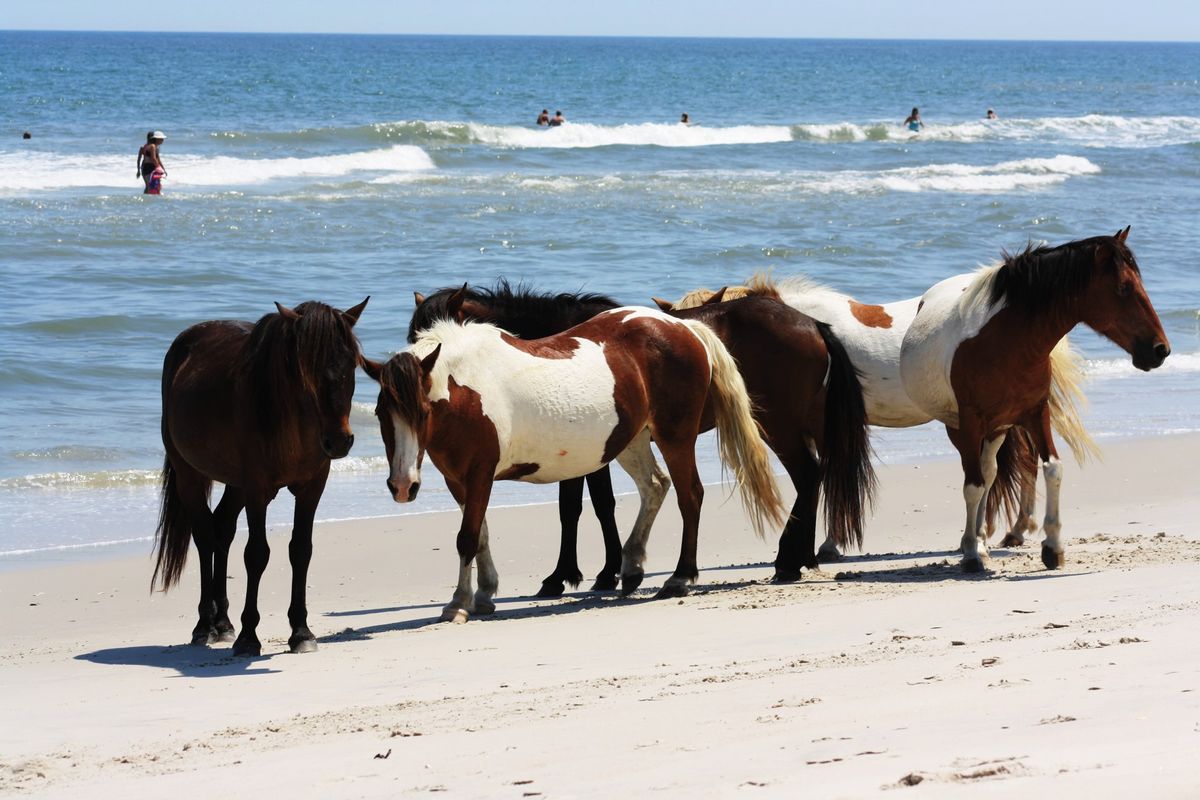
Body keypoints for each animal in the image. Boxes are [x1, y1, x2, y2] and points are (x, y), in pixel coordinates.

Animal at [153, 298, 369, 656]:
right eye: (306, 366)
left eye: (352, 363)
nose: (339, 441)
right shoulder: (257, 489)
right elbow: (256, 554)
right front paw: (249, 636)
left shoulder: (312, 488)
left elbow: (301, 550)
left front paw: (301, 632)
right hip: (190, 476)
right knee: (205, 536)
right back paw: (204, 626)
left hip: (235, 485)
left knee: (222, 529)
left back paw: (223, 624)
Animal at [901, 227, 1170, 571]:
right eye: (1124, 287)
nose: (1160, 350)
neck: (1007, 342)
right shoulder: (971, 422)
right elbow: (973, 486)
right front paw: (973, 554)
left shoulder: (1035, 414)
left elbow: (1052, 468)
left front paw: (1052, 547)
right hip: (963, 429)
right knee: (976, 479)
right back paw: (973, 545)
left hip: (998, 429)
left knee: (988, 472)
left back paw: (981, 540)